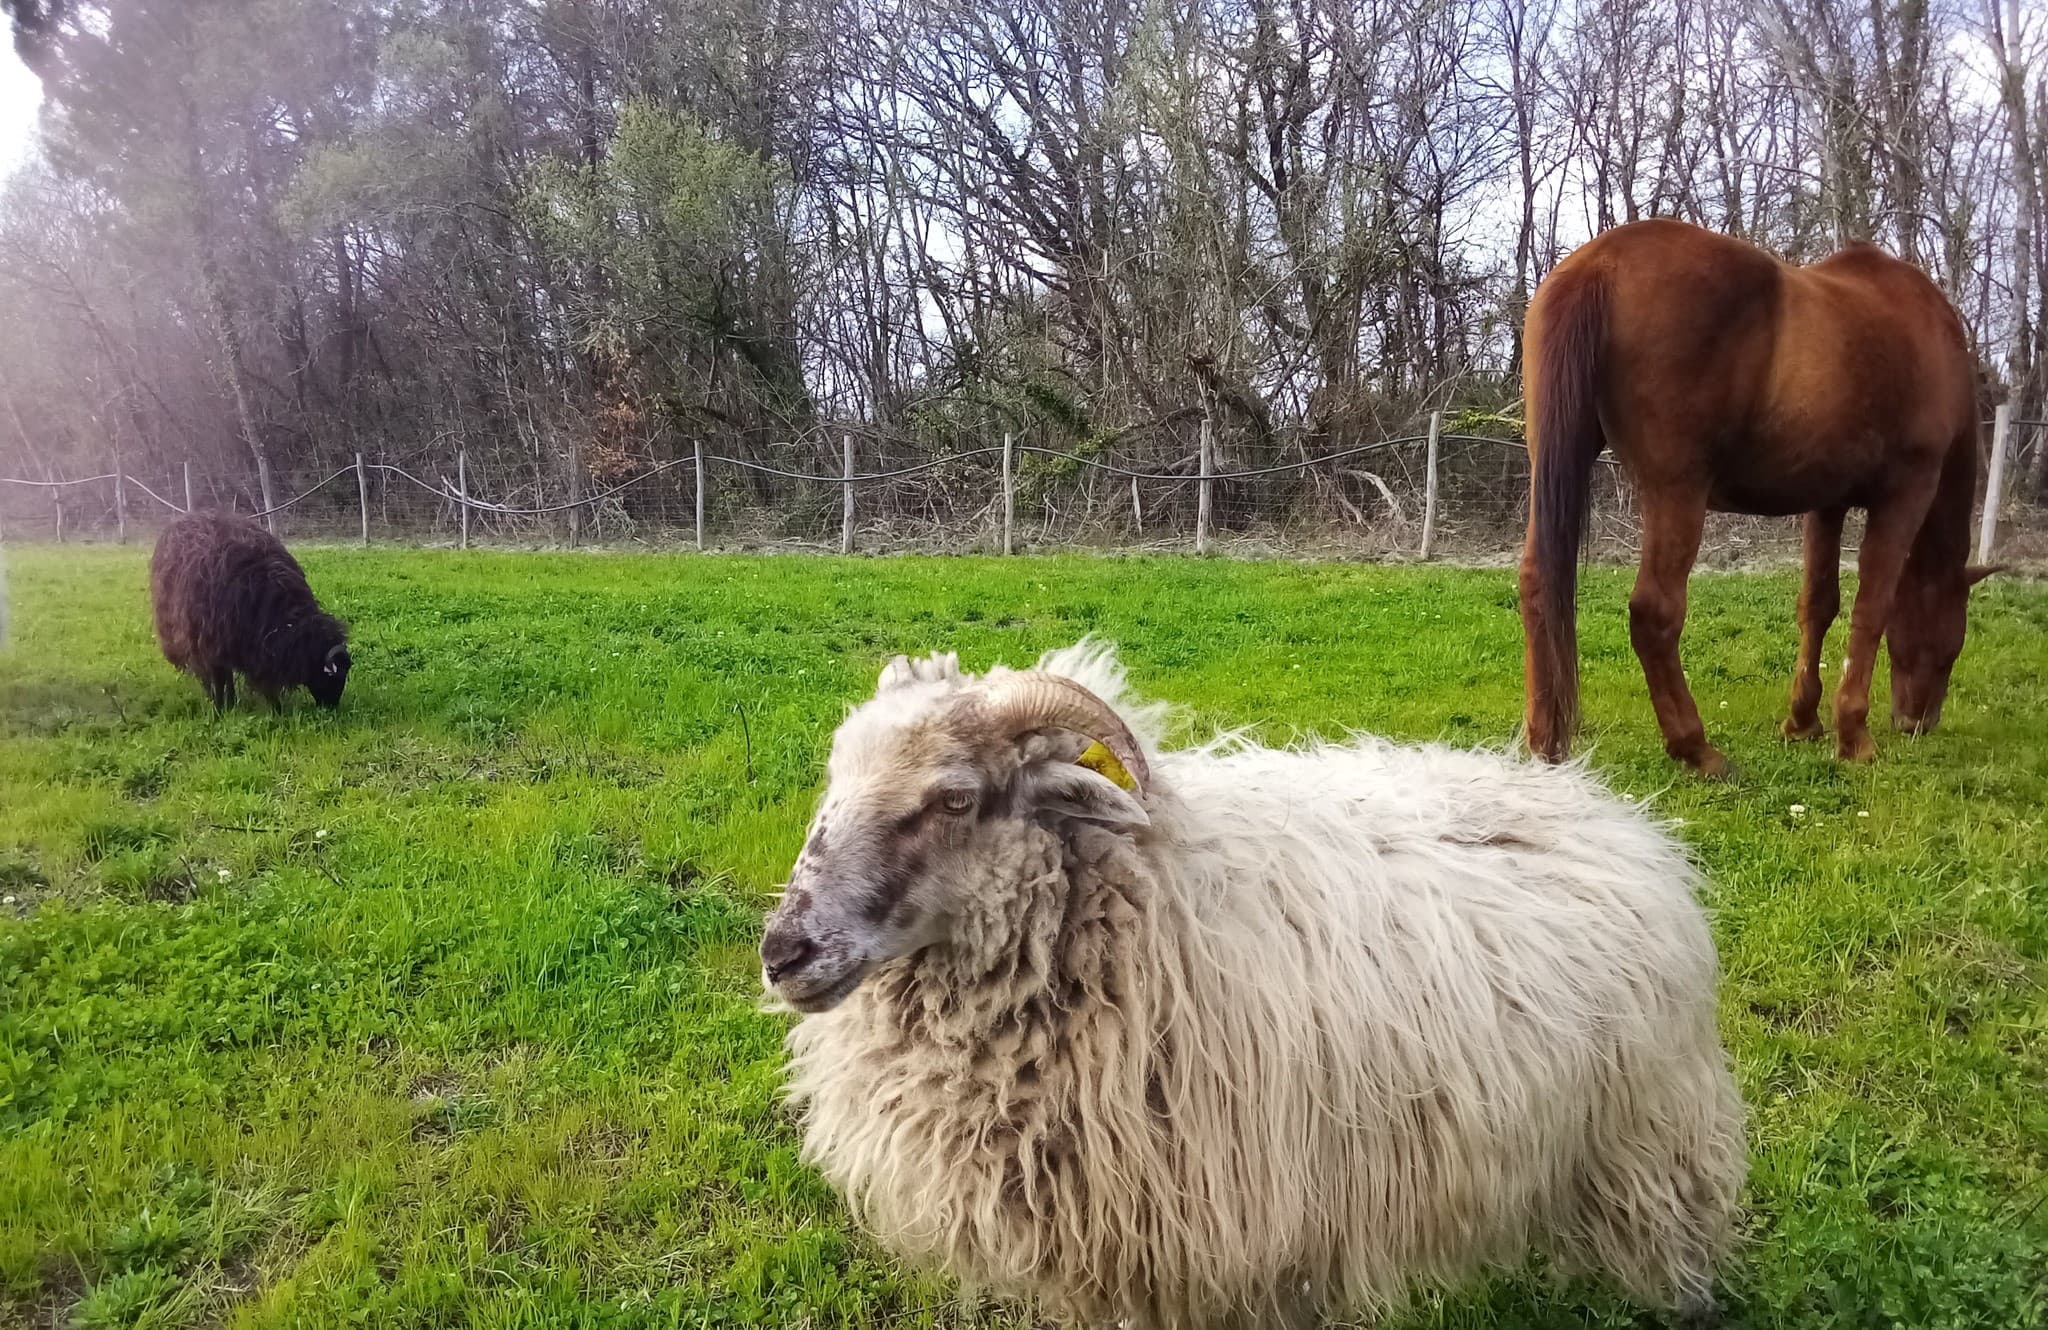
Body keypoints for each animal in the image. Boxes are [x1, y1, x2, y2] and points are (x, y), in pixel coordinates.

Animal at [150, 513, 351, 712]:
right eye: (331, 676)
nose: (332, 707)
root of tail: (182, 520)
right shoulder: (214, 646)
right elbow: (219, 679)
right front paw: (219, 710)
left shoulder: (259, 647)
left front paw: (275, 709)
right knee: (207, 673)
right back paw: (214, 699)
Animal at [761, 640, 1745, 1329]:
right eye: (835, 779)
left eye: (955, 799)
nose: (783, 951)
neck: (1138, 909)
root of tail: (1608, 809)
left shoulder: (1239, 1236)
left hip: (1649, 1136)